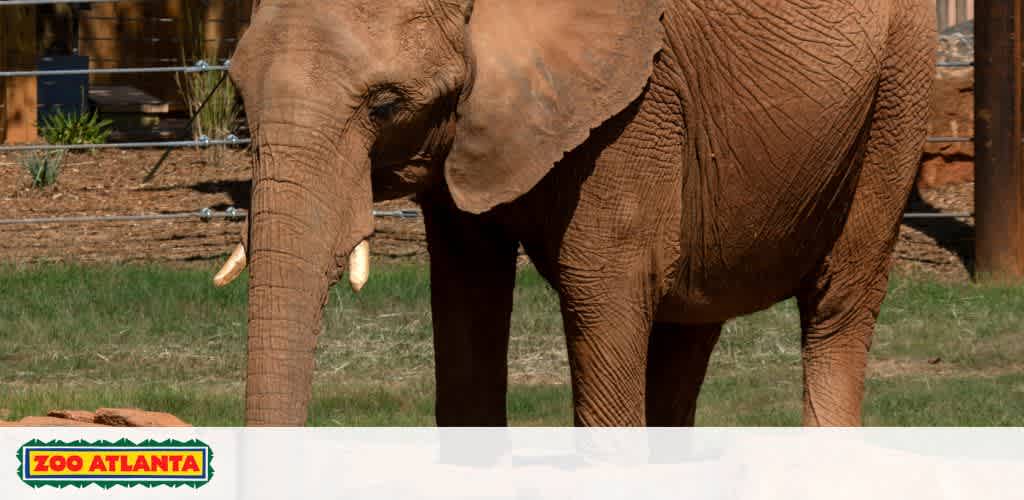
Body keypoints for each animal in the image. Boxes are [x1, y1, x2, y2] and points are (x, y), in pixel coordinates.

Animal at [216, 0, 937, 426]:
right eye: (240, 95)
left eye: (386, 105)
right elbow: (467, 299)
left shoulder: (637, 104)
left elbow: (602, 294)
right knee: (688, 318)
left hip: (899, 89)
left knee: (838, 305)